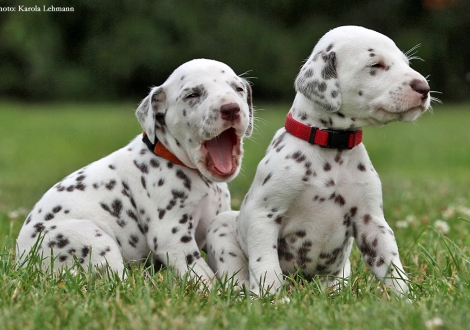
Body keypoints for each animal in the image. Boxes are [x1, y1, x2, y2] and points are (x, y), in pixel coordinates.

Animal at [16, 58, 253, 284]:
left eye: (238, 89)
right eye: (192, 94)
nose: (231, 108)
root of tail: (23, 263)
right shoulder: (173, 237)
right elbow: (202, 274)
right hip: (92, 239)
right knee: (117, 279)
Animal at [207, 24, 432, 296]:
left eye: (405, 62)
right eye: (375, 64)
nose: (424, 88)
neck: (331, 148)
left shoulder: (371, 222)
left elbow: (392, 267)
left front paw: (406, 299)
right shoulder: (264, 215)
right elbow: (266, 266)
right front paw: (271, 298)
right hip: (222, 226)